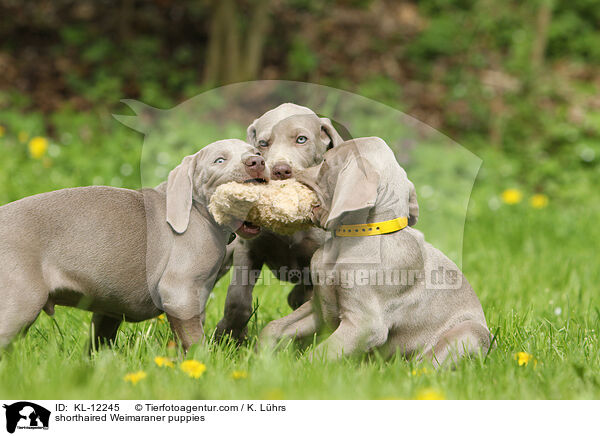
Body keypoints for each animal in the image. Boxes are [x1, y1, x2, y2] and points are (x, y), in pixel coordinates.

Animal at [0, 140, 268, 350]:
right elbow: (194, 342)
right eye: (219, 160)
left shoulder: (109, 302)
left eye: (256, 151)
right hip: (20, 300)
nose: (257, 161)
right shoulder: (179, 293)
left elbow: (100, 339)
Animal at [213, 103, 344, 340]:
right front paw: (229, 334)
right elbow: (238, 299)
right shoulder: (249, 249)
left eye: (301, 139)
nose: (280, 170)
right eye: (263, 144)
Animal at [260, 137, 490, 368]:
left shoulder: (365, 325)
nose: (287, 172)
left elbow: (318, 355)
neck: (349, 240)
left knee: (424, 365)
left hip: (469, 332)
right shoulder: (319, 305)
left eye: (325, 161)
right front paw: (261, 360)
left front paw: (296, 370)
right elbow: (274, 327)